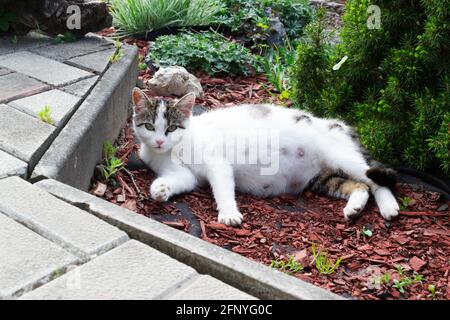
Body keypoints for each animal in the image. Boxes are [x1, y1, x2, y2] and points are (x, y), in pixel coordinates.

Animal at [132, 87, 400, 226]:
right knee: (360, 186)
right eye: (149, 126)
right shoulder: (184, 174)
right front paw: (160, 189)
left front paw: (229, 214)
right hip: (322, 177)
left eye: (171, 128)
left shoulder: (217, 163)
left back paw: (389, 207)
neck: (175, 149)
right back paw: (354, 208)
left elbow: (222, 187)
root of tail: (341, 126)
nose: (159, 141)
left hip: (342, 157)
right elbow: (179, 180)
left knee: (376, 181)